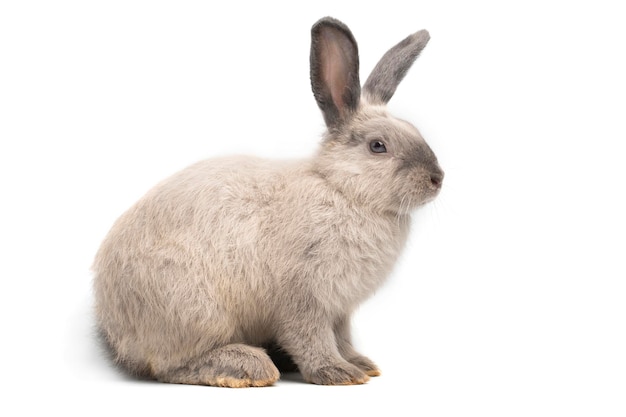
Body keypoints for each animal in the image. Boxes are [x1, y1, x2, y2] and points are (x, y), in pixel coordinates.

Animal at [94, 16, 444, 386]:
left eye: (415, 131)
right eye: (378, 146)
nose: (438, 178)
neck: (341, 190)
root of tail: (111, 323)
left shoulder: (340, 310)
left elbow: (342, 337)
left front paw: (360, 364)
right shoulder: (304, 299)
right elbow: (312, 337)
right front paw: (337, 372)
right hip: (195, 310)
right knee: (171, 365)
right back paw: (249, 365)